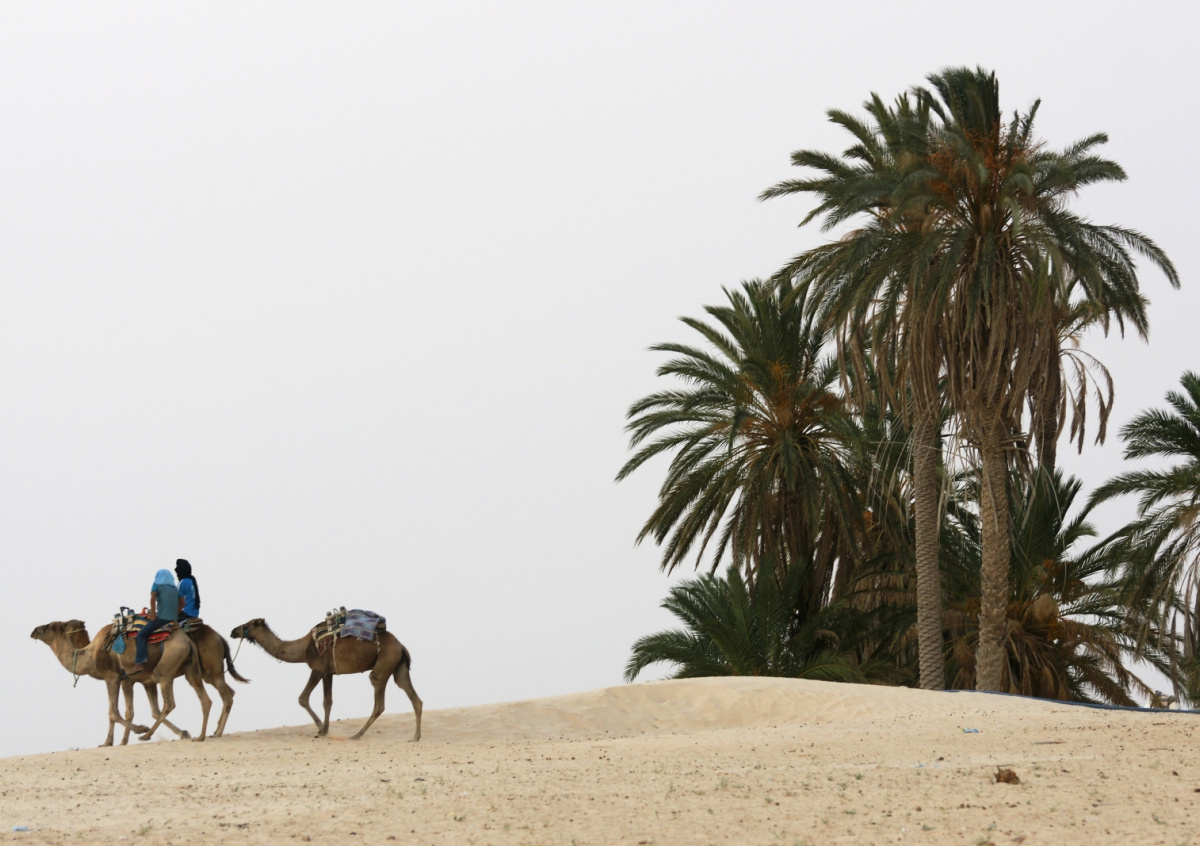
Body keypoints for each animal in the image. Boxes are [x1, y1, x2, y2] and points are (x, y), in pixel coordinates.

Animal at [230, 617, 422, 740]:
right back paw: (415, 736)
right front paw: (325, 729)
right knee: (412, 696)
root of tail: (401, 646)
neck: (302, 648)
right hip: (398, 666)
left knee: (378, 699)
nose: (233, 631)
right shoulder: (328, 673)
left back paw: (357, 735)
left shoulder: (317, 668)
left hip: (385, 661)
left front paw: (320, 728)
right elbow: (327, 701)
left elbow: (303, 698)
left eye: (248, 624)